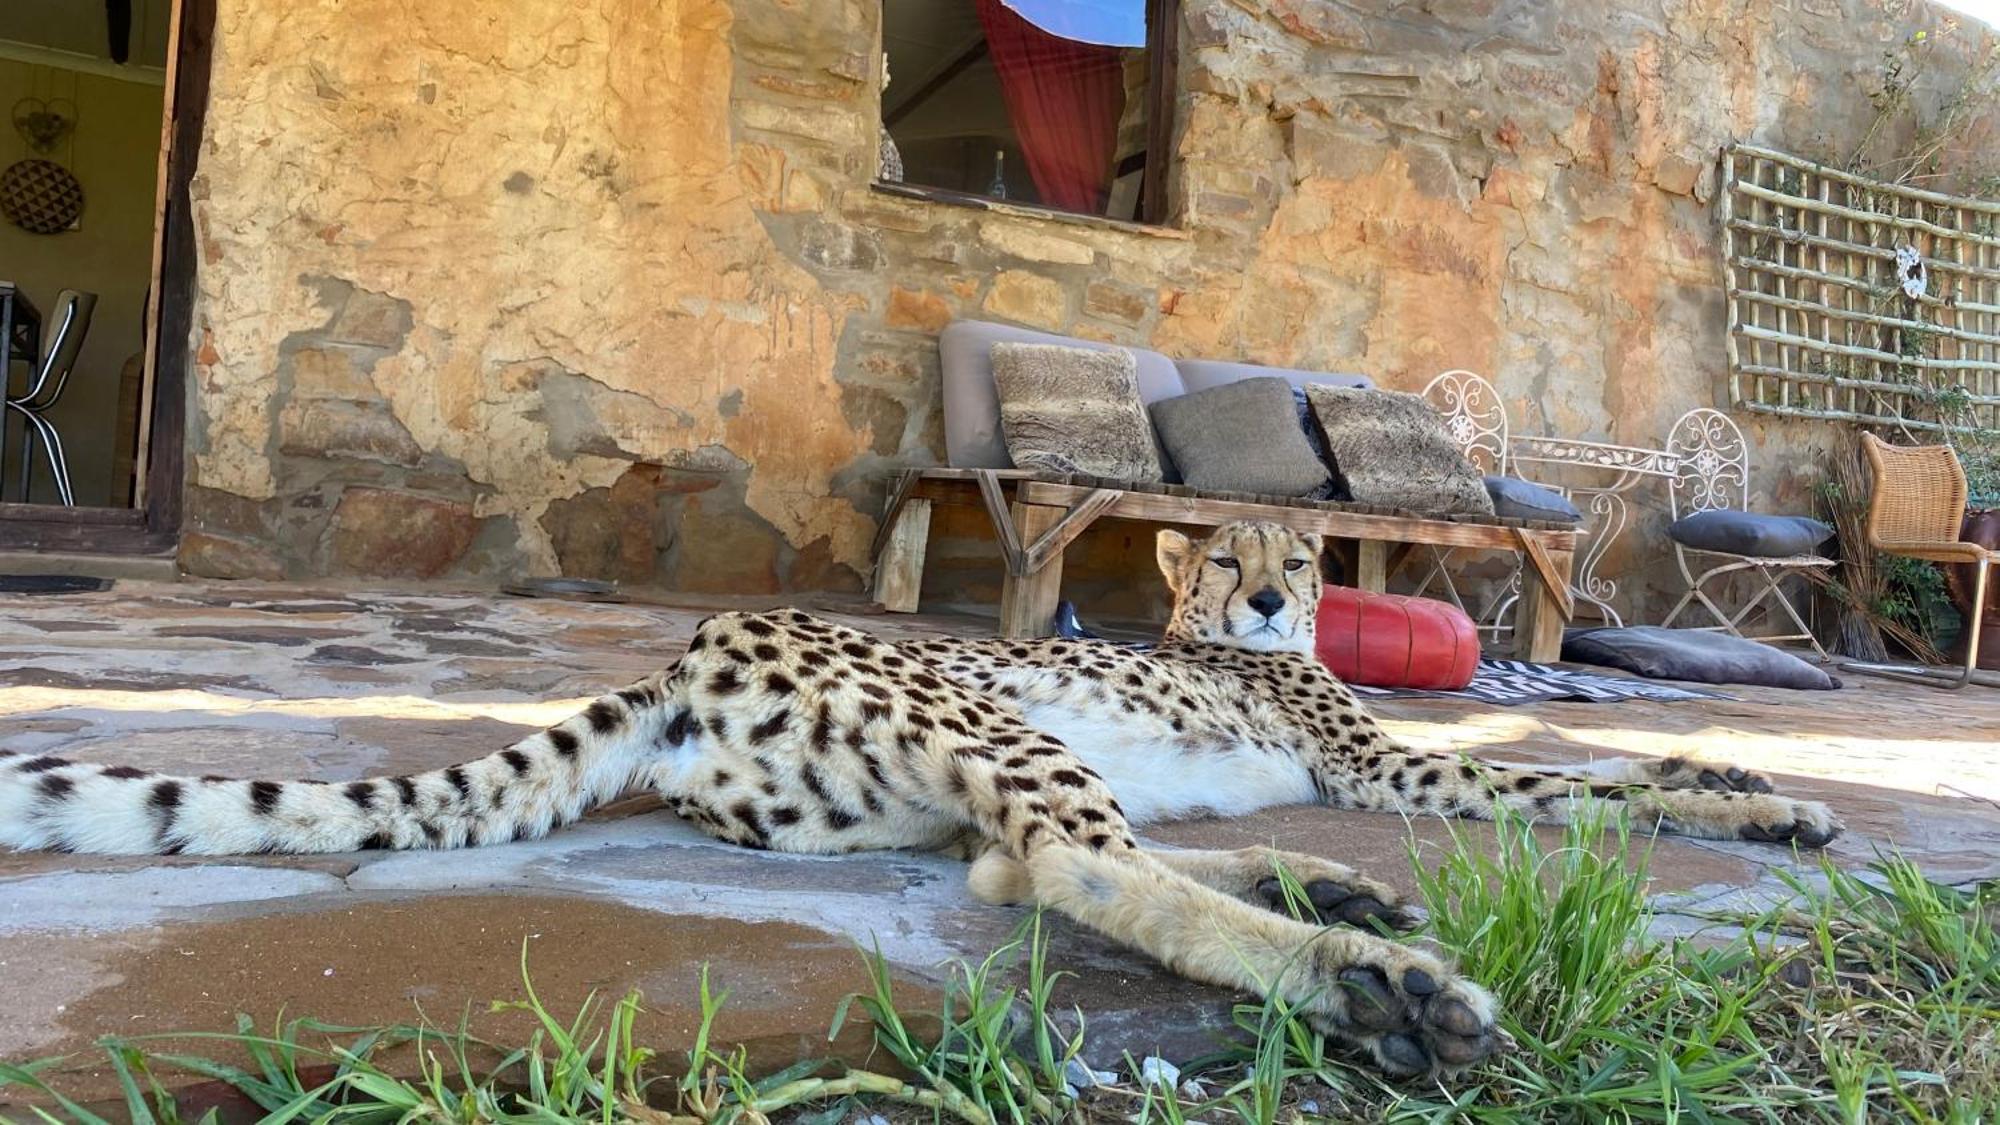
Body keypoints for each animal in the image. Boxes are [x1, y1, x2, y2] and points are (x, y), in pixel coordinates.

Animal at [3, 520, 1840, 1072]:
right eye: (1227, 554)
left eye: (1302, 558)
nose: (1261, 599)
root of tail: (686, 649)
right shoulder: (1387, 759)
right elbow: (1580, 783)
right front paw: (1757, 797)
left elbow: (1595, 769)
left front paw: (1753, 777)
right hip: (986, 714)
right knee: (1079, 874)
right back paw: (1372, 978)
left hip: (894, 785)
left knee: (1012, 872)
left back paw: (1341, 902)